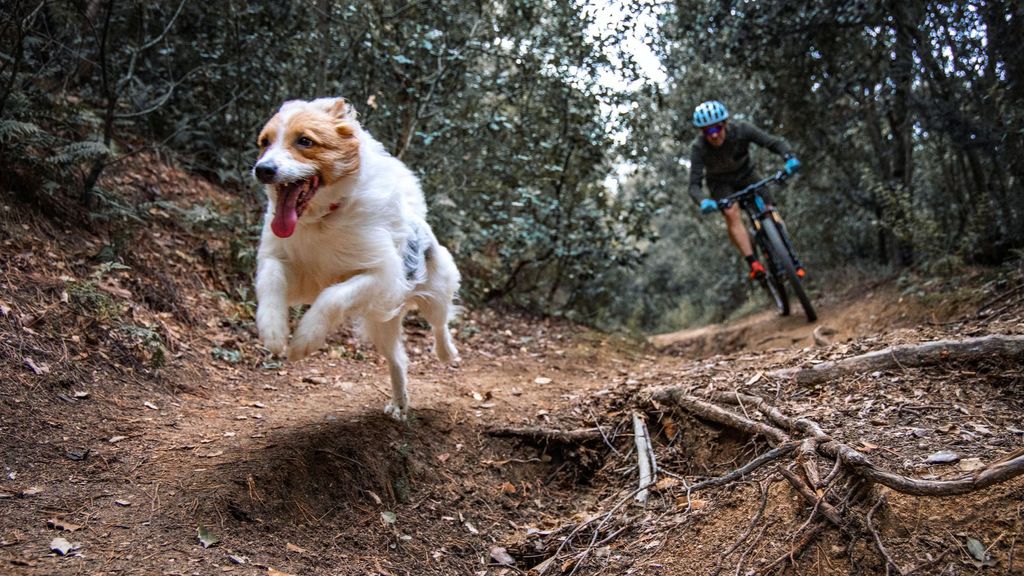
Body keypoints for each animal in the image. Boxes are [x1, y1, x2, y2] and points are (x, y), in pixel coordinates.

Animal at [253, 95, 462, 416]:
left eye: (304, 141)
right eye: (264, 142)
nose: (262, 169)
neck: (323, 219)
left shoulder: (381, 275)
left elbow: (332, 298)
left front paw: (304, 340)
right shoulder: (285, 264)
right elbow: (271, 282)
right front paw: (274, 332)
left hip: (435, 291)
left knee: (440, 323)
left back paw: (446, 352)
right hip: (381, 323)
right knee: (397, 359)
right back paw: (399, 404)